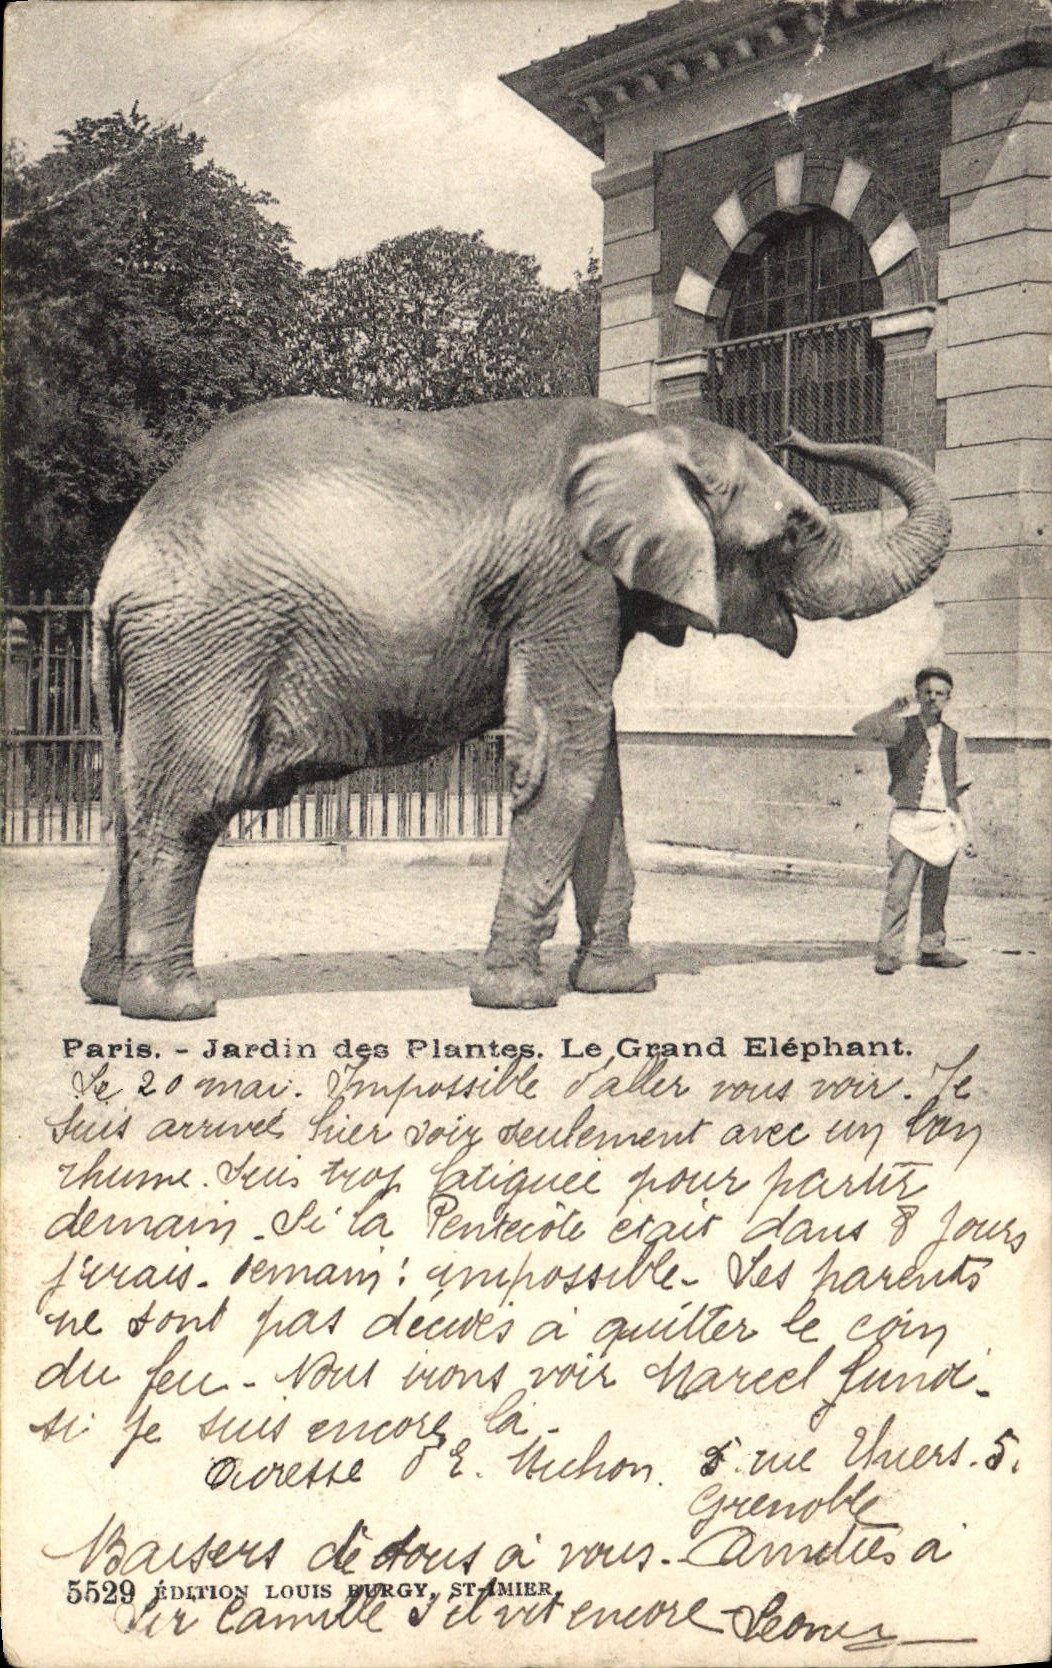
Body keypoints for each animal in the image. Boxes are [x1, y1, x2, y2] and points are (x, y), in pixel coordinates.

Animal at [81, 395, 951, 1021]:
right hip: (208, 648)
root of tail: (116, 569)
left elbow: (599, 772)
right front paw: (520, 998)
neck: (645, 431)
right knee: (191, 802)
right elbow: (562, 759)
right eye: (796, 530)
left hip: (155, 670)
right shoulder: (567, 582)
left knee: (131, 804)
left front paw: (621, 985)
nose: (800, 431)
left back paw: (106, 991)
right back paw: (174, 1007)